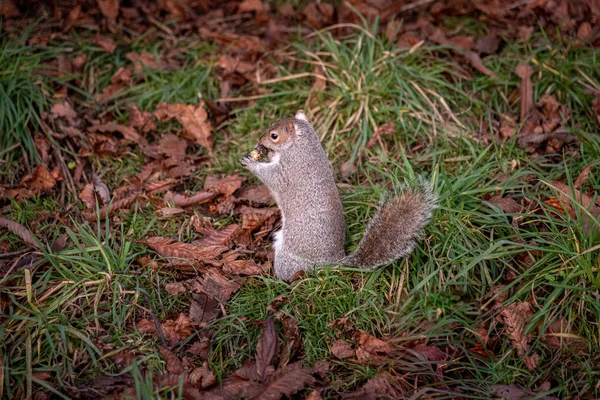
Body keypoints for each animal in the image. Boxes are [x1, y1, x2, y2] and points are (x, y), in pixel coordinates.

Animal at [239, 110, 436, 282]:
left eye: (274, 136)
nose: (260, 140)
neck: (302, 144)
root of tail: (332, 263)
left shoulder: (288, 170)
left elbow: (272, 177)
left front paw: (252, 163)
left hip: (289, 259)